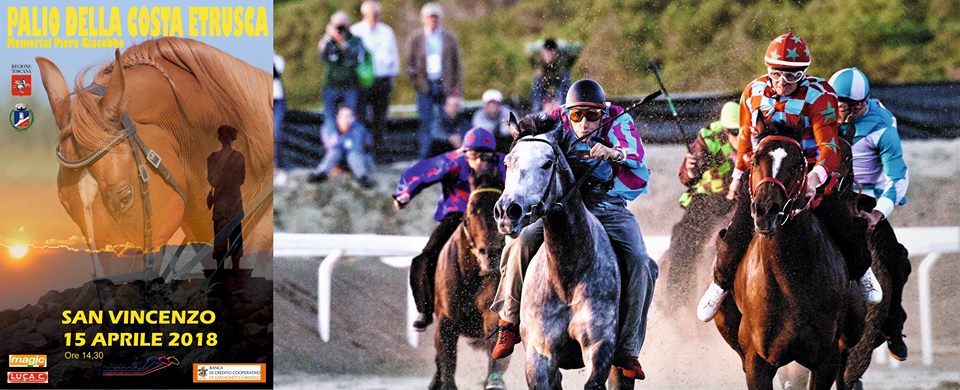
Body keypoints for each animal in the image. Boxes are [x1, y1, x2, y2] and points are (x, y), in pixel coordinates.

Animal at [432, 174, 510, 390]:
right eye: (472, 211)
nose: (490, 253)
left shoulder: (493, 311)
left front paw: (494, 382)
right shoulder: (446, 321)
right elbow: (447, 360)